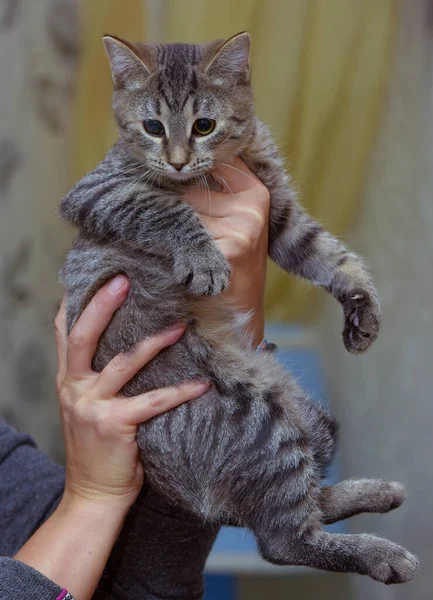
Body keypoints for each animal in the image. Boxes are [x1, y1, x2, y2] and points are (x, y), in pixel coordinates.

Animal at [59, 31, 416, 580]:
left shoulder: (281, 214)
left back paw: (376, 493)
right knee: (282, 541)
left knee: (297, 507)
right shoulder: (101, 188)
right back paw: (380, 553)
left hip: (306, 417)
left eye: (204, 125)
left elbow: (328, 252)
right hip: (261, 426)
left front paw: (365, 307)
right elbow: (164, 206)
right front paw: (204, 257)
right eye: (152, 127)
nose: (178, 160)